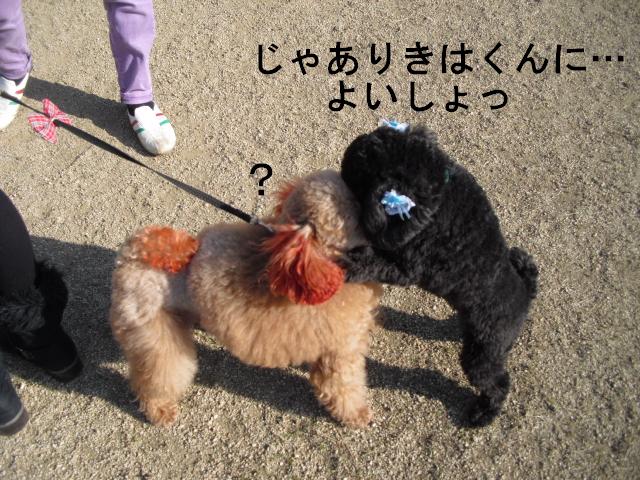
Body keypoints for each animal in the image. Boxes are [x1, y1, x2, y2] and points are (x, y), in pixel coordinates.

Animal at [109, 170, 382, 428]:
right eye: (356, 209)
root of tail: (135, 250)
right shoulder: (340, 350)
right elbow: (342, 387)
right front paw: (357, 415)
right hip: (153, 332)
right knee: (157, 376)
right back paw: (159, 410)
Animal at [340, 125, 538, 427]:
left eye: (355, 177)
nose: (340, 168)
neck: (439, 189)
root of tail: (526, 295)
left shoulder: (407, 267)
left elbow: (376, 261)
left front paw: (352, 264)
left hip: (481, 353)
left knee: (498, 383)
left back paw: (483, 413)